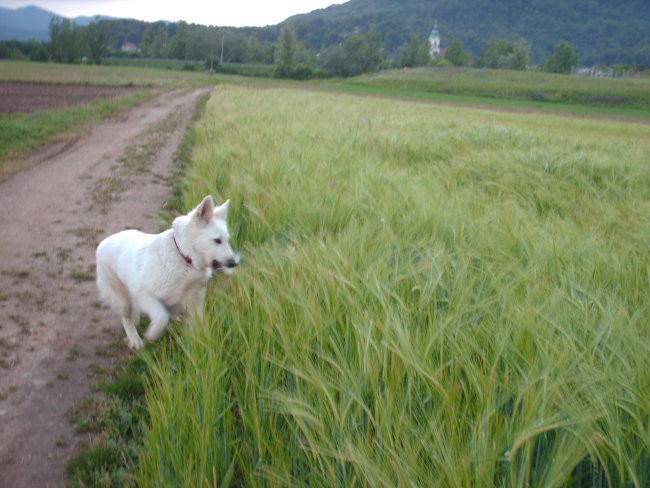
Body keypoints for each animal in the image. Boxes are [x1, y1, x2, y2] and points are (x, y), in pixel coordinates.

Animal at [95, 193, 239, 348]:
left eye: (227, 240)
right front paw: (151, 334)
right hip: (123, 299)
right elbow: (161, 316)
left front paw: (197, 341)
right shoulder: (143, 296)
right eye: (217, 240)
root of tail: (103, 242)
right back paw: (135, 339)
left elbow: (196, 323)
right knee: (127, 319)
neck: (183, 257)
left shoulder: (195, 299)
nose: (233, 263)